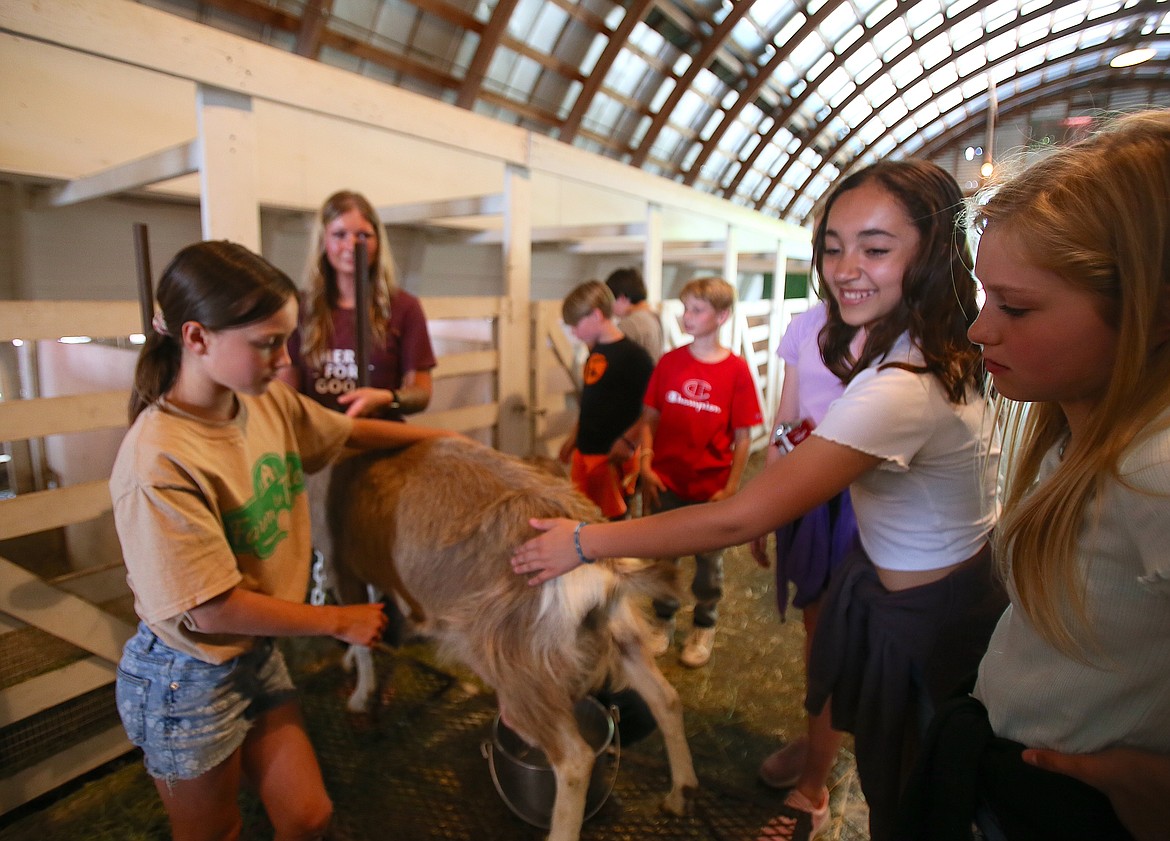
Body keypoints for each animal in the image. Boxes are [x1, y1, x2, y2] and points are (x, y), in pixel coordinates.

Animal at [325, 437, 697, 841]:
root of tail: (603, 571)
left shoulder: (341, 566)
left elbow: (359, 628)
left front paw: (359, 694)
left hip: (523, 669)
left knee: (575, 759)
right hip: (621, 633)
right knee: (667, 699)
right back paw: (681, 793)